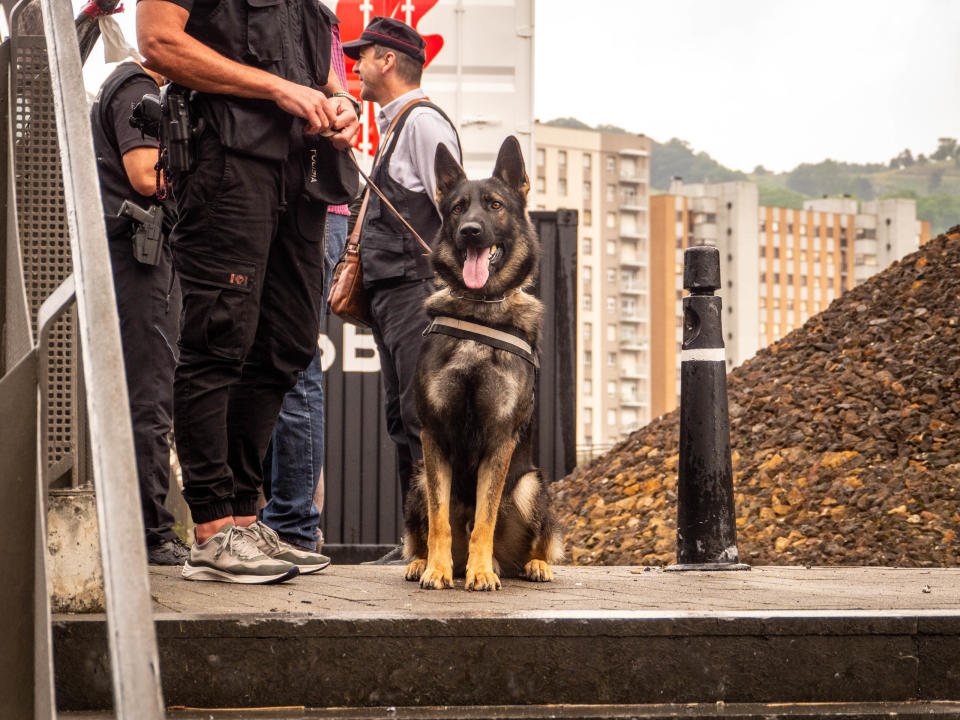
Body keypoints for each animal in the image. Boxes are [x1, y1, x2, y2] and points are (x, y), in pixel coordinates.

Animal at [400, 136, 564, 592]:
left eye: (494, 205)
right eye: (458, 208)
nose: (470, 231)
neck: (480, 312)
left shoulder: (499, 440)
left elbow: (484, 519)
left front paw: (480, 572)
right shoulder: (434, 438)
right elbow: (440, 520)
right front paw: (437, 570)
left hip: (530, 485)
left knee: (539, 543)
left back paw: (528, 565)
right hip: (417, 478)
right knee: (421, 530)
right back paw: (423, 563)